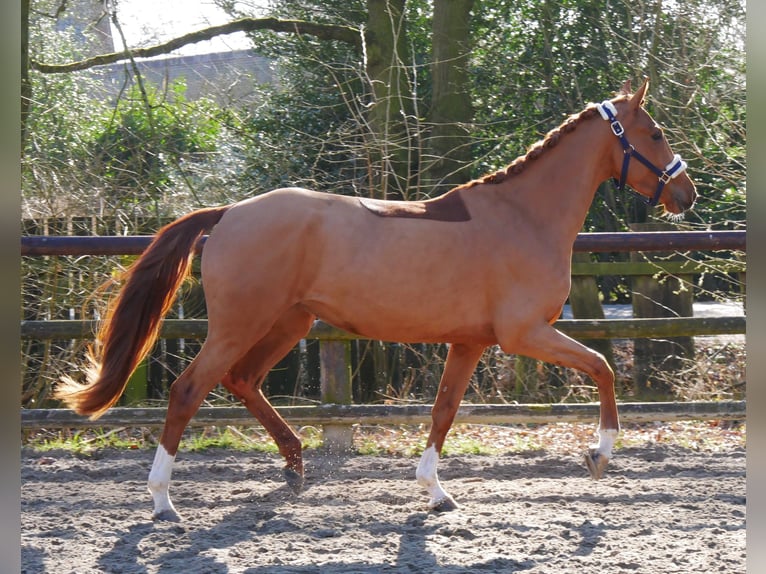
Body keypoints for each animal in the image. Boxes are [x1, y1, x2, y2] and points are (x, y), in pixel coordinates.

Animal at [57, 79, 700, 524]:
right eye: (656, 133)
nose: (687, 193)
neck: (524, 217)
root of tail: (231, 212)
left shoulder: (470, 342)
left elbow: (444, 411)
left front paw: (436, 492)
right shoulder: (525, 334)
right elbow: (604, 366)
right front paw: (599, 455)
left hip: (290, 323)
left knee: (243, 381)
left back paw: (295, 466)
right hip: (240, 325)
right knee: (189, 391)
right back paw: (163, 500)